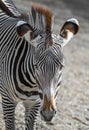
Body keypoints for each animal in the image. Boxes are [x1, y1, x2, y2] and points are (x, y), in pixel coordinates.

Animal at [0, 0, 79, 130]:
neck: (31, 85)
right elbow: (10, 125)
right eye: (36, 66)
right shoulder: (8, 100)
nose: (48, 114)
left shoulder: (35, 104)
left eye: (61, 67)